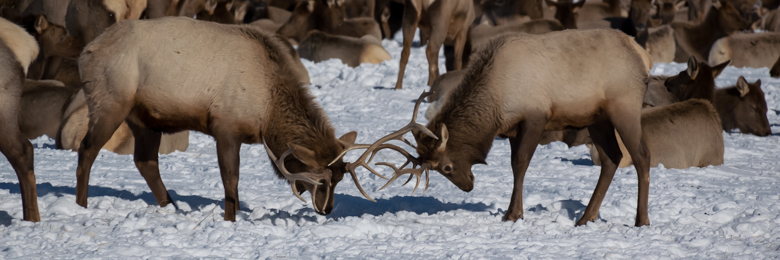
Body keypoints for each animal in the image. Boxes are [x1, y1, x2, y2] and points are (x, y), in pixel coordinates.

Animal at [75, 17, 374, 221]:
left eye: (339, 179)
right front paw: (231, 219)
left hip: (144, 119)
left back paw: (172, 207)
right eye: (320, 181)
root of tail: (85, 52)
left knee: (145, 161)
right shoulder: (225, 128)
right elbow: (231, 179)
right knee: (86, 149)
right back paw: (81, 205)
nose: (327, 209)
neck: (268, 114)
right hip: (111, 102)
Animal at [344, 29, 656, 226]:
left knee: (641, 156)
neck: (496, 100)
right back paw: (585, 217)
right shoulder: (512, 129)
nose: (468, 186)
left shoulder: (535, 116)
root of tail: (643, 55)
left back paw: (641, 220)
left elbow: (520, 163)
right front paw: (511, 211)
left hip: (623, 106)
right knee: (612, 158)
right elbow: (513, 166)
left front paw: (513, 214)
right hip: (597, 118)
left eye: (445, 167)